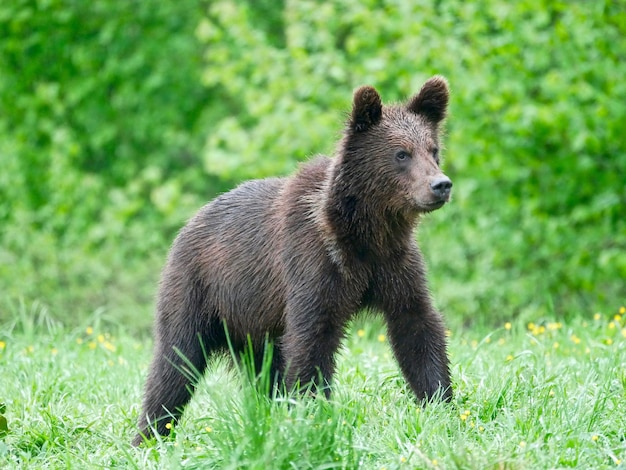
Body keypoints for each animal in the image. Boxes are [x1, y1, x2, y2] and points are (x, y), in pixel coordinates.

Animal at [134, 76, 450, 444]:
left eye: (433, 150)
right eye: (401, 153)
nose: (441, 184)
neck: (363, 234)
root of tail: (187, 225)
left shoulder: (393, 265)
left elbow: (416, 325)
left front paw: (440, 400)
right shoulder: (312, 263)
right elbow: (312, 339)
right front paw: (314, 414)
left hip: (253, 321)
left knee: (261, 371)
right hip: (198, 287)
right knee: (176, 359)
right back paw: (150, 432)